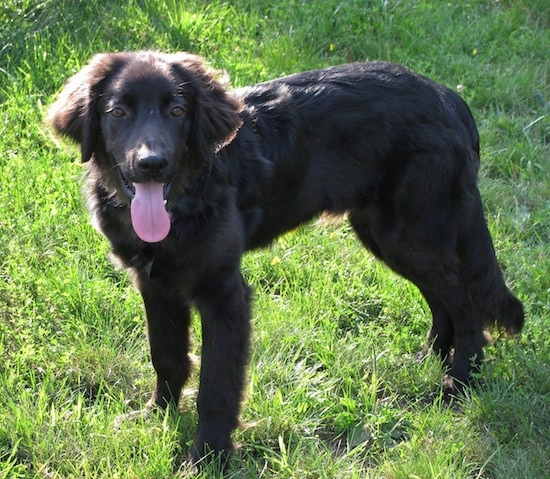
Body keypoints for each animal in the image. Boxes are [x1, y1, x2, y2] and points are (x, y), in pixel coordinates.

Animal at [48, 50, 528, 464]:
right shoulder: (156, 284)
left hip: (409, 232)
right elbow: (166, 357)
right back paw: (430, 359)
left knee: (464, 299)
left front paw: (209, 456)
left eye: (178, 112)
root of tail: (451, 99)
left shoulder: (225, 294)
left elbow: (216, 386)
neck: (186, 199)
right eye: (118, 113)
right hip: (387, 234)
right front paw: (157, 415)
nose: (152, 164)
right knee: (443, 295)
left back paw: (460, 381)